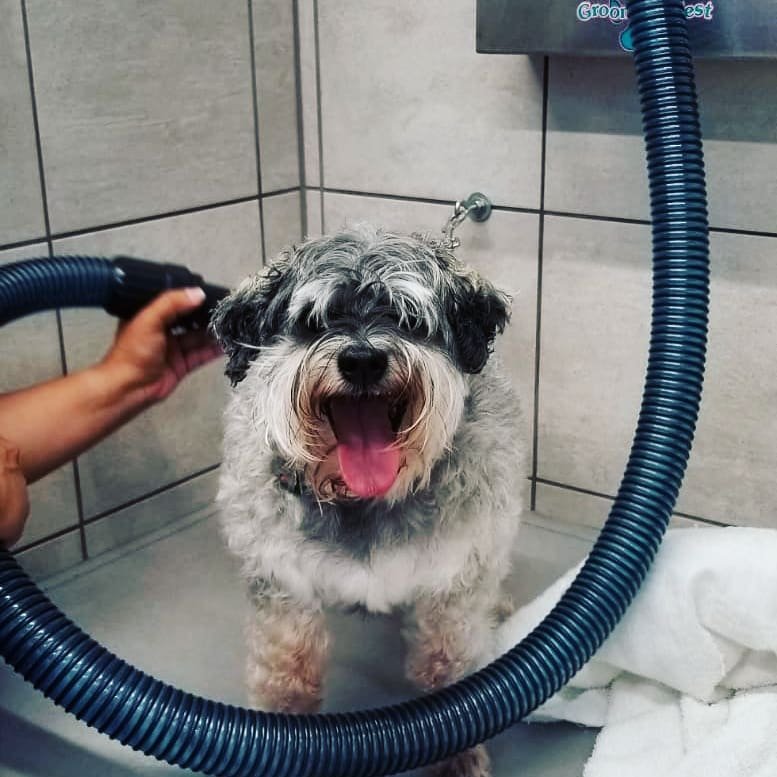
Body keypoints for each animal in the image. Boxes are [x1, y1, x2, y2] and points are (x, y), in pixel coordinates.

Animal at [211, 224, 526, 777]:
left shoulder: (454, 583)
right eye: (313, 321)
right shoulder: (281, 582)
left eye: (407, 318)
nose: (362, 360)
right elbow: (286, 669)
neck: (364, 501)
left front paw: (458, 758)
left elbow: (449, 669)